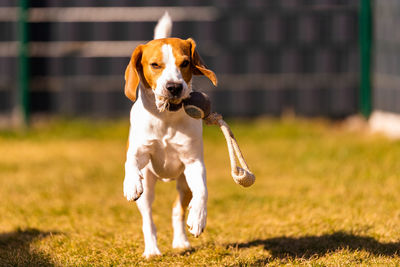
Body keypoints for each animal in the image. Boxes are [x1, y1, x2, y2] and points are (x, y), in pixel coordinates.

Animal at [124, 11, 219, 258]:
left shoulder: (194, 163)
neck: (166, 118)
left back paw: (181, 241)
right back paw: (152, 249)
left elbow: (203, 191)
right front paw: (130, 183)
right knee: (148, 218)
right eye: (155, 65)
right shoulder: (139, 151)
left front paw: (199, 217)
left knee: (178, 210)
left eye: (185, 63)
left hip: (184, 183)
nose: (174, 87)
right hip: (148, 185)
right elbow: (131, 162)